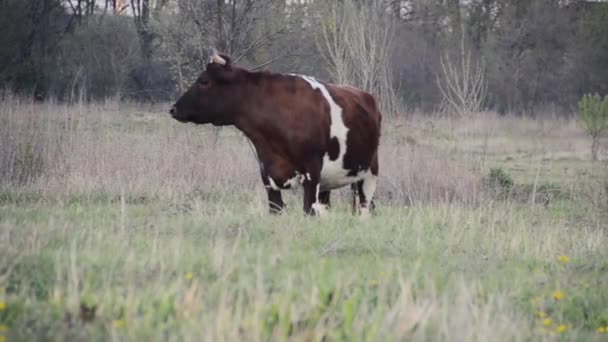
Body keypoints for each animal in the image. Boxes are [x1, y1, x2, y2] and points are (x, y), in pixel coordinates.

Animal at [170, 50, 380, 216]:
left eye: (204, 81)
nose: (173, 109)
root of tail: (367, 95)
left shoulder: (311, 173)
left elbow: (308, 211)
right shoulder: (267, 175)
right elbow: (276, 209)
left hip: (369, 174)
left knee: (365, 208)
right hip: (329, 182)